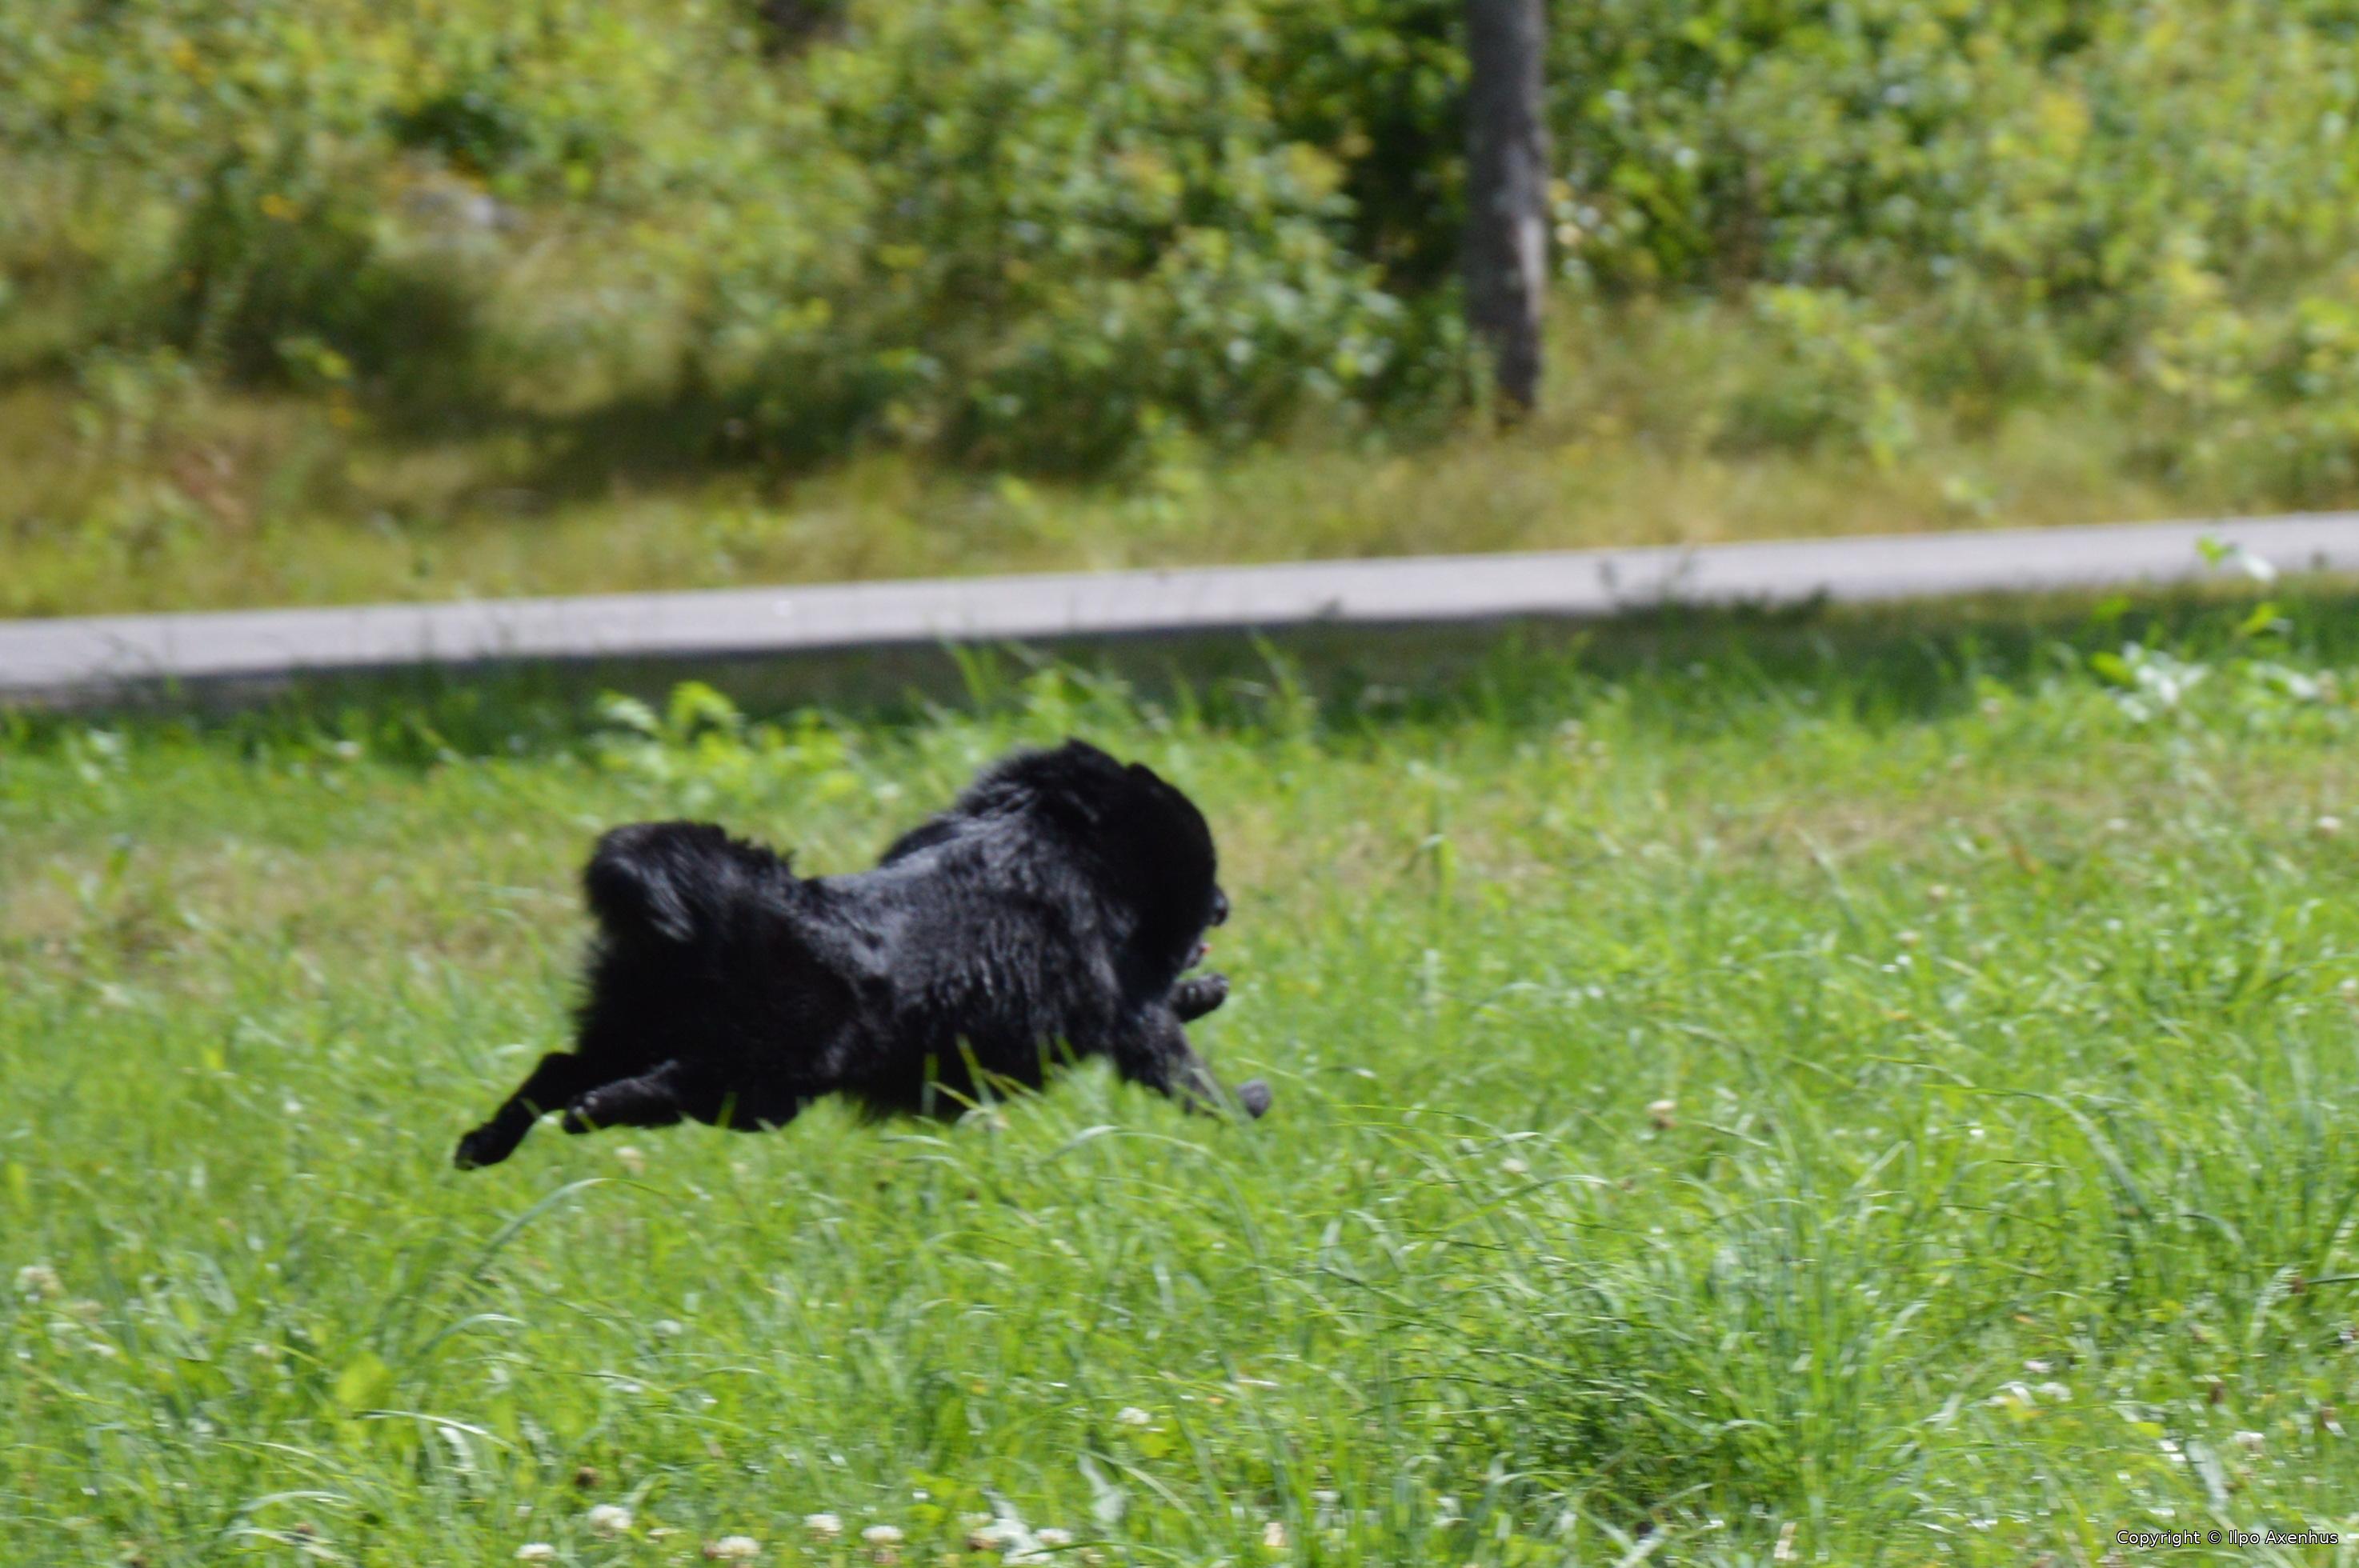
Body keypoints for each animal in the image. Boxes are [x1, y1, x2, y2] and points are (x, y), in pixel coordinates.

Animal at [454, 740, 1267, 1168]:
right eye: (1209, 873)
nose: (1227, 906)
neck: (1060, 843)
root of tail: (740, 911)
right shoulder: (1124, 1009)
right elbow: (1181, 1063)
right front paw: (1246, 1106)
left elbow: (1172, 1008)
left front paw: (1210, 991)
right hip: (767, 1079)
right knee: (663, 1086)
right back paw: (594, 1112)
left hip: (640, 1024)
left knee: (562, 1066)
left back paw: (487, 1141)